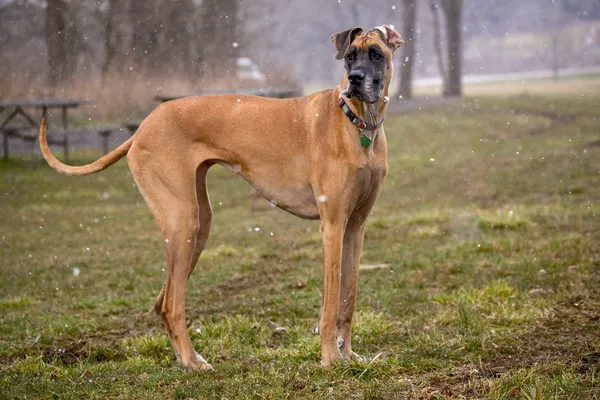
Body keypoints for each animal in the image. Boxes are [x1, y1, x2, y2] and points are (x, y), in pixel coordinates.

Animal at [38, 25, 404, 370]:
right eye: (349, 57)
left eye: (375, 54)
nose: (354, 80)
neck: (359, 124)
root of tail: (142, 127)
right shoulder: (332, 226)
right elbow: (330, 305)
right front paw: (330, 359)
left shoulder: (355, 227)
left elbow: (348, 299)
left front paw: (350, 355)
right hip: (183, 221)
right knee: (172, 304)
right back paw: (191, 362)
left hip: (199, 226)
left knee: (163, 301)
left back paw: (188, 359)